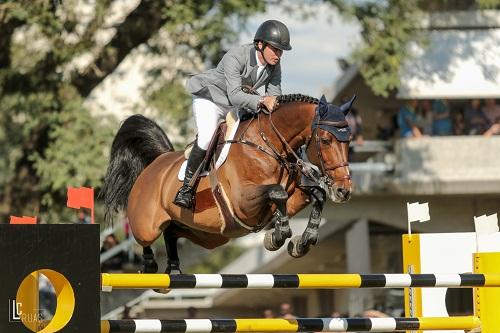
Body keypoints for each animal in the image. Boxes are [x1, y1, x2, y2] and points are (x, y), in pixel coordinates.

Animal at [100, 93, 352, 274]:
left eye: (348, 140)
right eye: (326, 140)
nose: (344, 191)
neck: (268, 144)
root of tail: (156, 162)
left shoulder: (290, 198)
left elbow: (317, 194)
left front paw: (303, 242)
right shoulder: (243, 204)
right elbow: (277, 192)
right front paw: (277, 237)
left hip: (207, 235)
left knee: (172, 232)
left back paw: (173, 269)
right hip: (147, 224)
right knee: (145, 237)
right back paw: (149, 265)